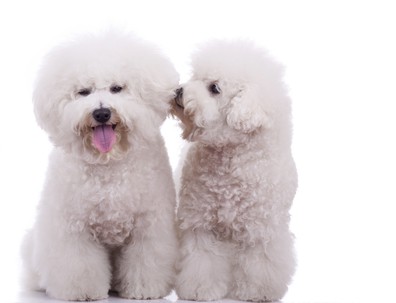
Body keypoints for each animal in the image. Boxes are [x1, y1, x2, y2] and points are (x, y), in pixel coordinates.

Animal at [22, 31, 180, 302]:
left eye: (117, 88)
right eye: (83, 92)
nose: (102, 113)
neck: (109, 163)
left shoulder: (150, 224)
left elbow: (146, 259)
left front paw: (144, 290)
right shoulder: (73, 227)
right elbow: (79, 264)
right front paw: (83, 292)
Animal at [172, 39, 298, 302]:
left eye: (214, 88)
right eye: (195, 77)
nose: (178, 91)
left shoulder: (262, 228)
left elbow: (260, 261)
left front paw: (256, 292)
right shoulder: (201, 221)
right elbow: (202, 259)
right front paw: (201, 290)